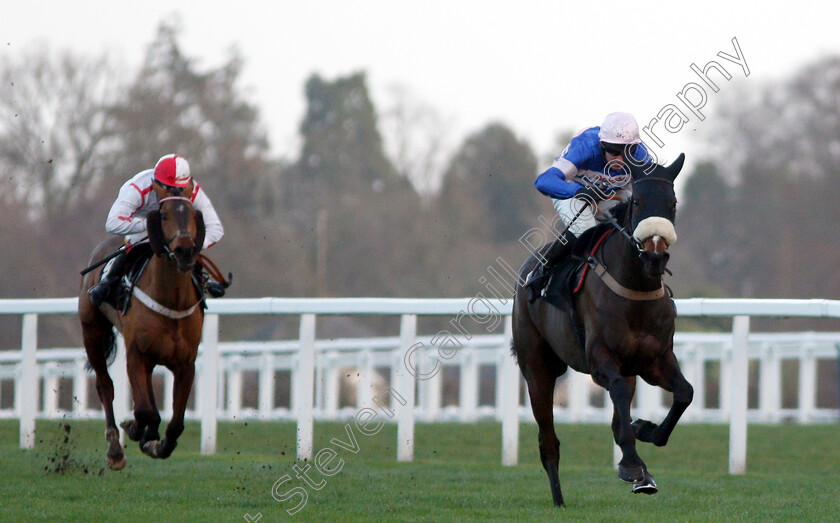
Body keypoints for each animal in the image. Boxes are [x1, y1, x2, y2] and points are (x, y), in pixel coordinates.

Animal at [79, 195, 207, 470]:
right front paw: (135, 429)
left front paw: (157, 443)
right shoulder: (136, 354)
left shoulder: (185, 363)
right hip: (92, 331)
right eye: (164, 215)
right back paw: (115, 449)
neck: (171, 301)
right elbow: (143, 410)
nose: (185, 251)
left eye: (194, 214)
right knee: (105, 386)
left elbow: (176, 423)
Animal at [512, 155, 696, 508]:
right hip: (537, 368)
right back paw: (559, 500)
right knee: (548, 441)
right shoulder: (600, 360)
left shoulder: (655, 360)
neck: (634, 290)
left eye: (673, 203)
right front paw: (632, 464)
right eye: (637, 202)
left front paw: (644, 431)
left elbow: (684, 393)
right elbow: (620, 399)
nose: (655, 255)